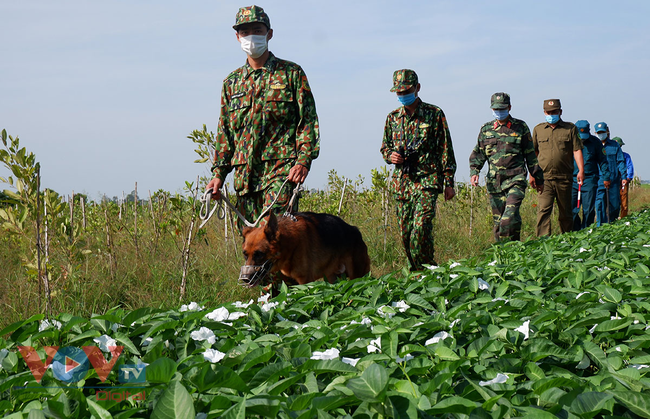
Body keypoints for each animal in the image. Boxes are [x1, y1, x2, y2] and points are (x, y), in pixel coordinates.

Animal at [238, 213, 370, 288]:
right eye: (245, 255)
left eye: (259, 254)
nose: (245, 278)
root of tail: (356, 231)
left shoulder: (306, 280)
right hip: (332, 277)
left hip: (358, 277)